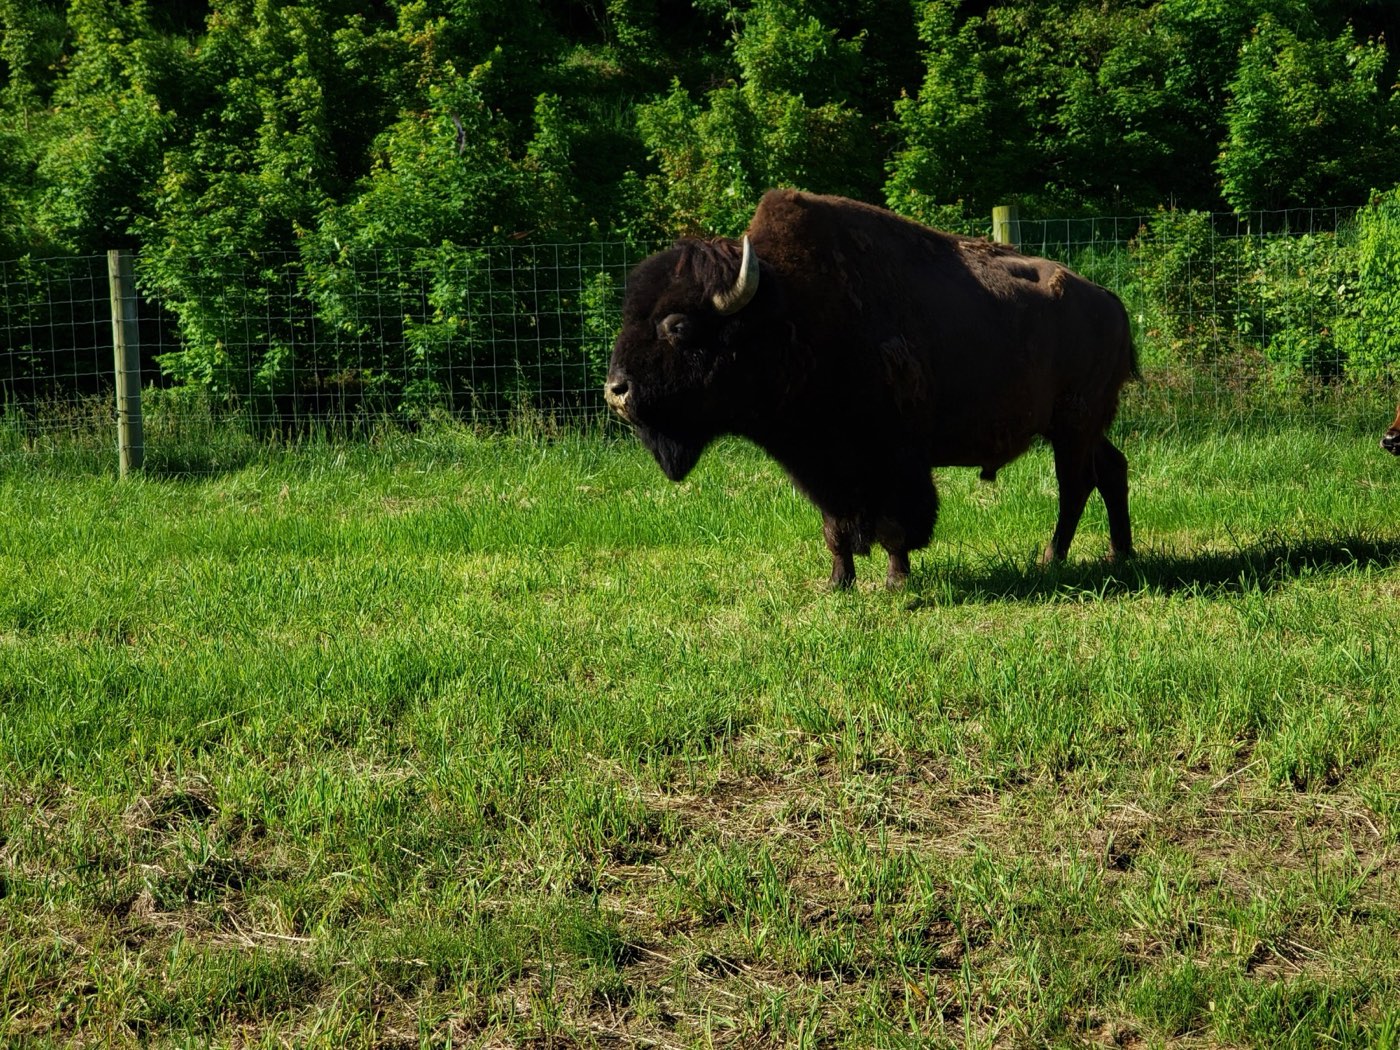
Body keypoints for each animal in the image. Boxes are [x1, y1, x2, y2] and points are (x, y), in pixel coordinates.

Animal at [604, 189, 1137, 588]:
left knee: (1075, 485)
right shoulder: (821, 463)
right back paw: (1121, 554)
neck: (787, 313)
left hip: (1073, 426)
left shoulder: (893, 458)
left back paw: (1052, 559)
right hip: (1082, 427)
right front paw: (839, 583)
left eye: (678, 326)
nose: (616, 391)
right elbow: (837, 528)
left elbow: (897, 524)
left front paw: (896, 581)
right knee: (1111, 470)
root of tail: (1110, 302)